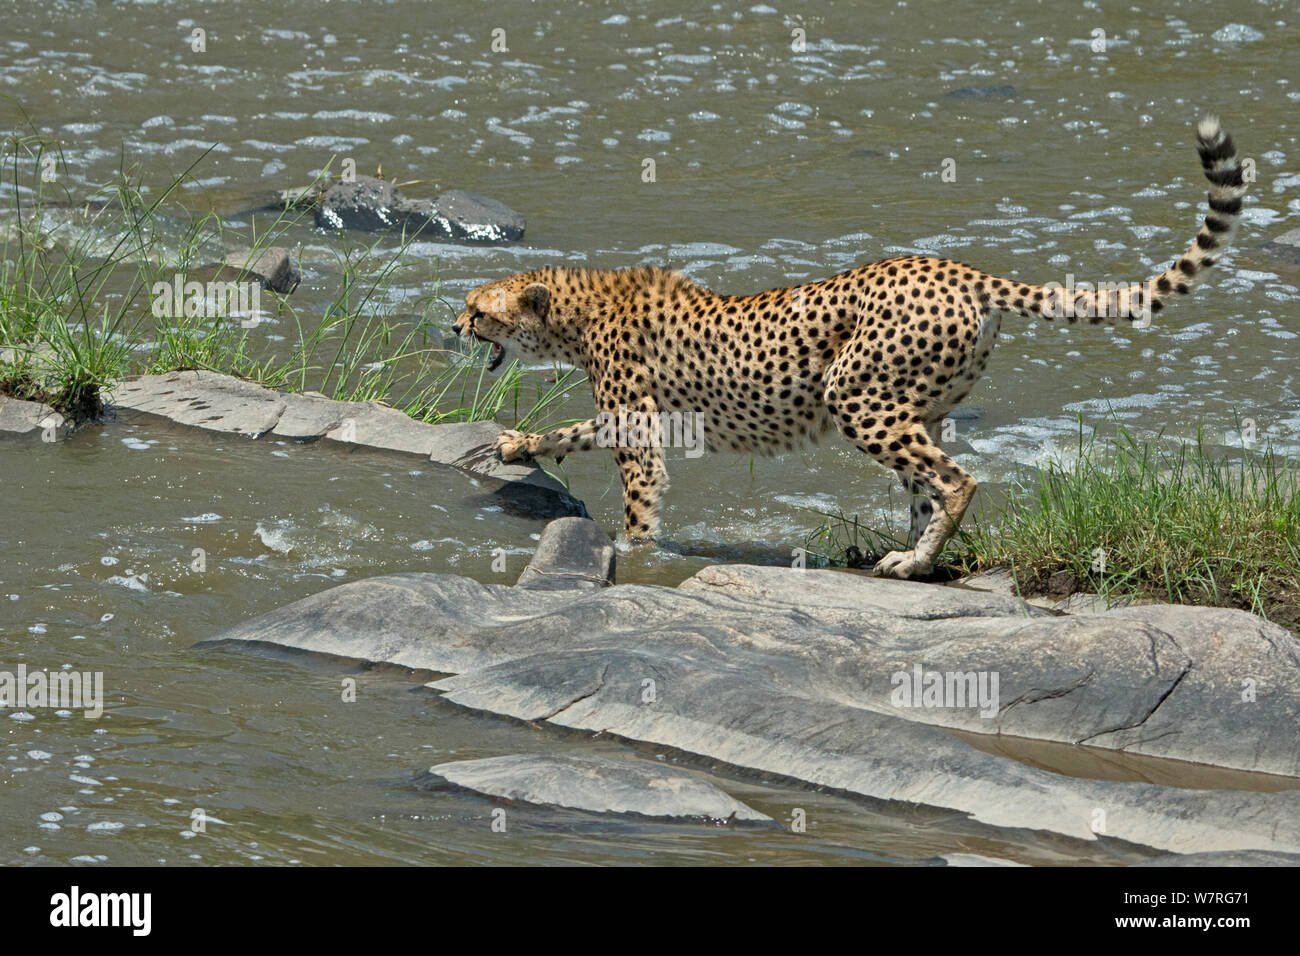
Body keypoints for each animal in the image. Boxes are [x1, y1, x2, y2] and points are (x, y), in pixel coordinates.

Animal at [452, 119, 1242, 582]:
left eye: (476, 309)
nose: (453, 327)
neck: (576, 310)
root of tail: (956, 268)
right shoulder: (634, 415)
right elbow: (571, 430)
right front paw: (517, 445)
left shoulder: (639, 429)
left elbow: (639, 500)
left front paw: (634, 552)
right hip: (918, 404)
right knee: (927, 484)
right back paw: (912, 559)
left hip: (856, 396)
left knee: (957, 480)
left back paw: (916, 559)